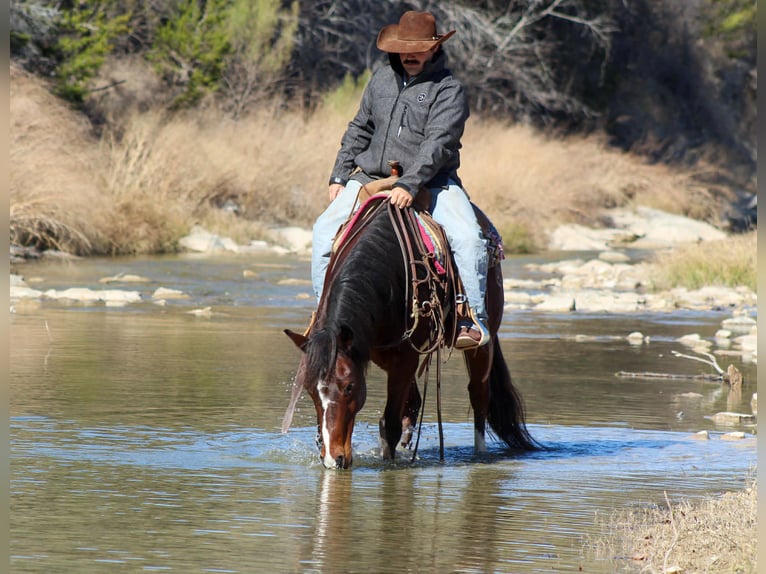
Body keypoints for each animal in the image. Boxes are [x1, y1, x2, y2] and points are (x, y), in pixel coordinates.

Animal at [282, 192, 536, 469]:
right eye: (310, 390)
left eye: (349, 386)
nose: (333, 459)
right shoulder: (389, 355)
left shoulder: (404, 357)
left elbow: (389, 425)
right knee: (414, 401)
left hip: (482, 343)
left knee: (479, 395)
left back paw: (479, 454)